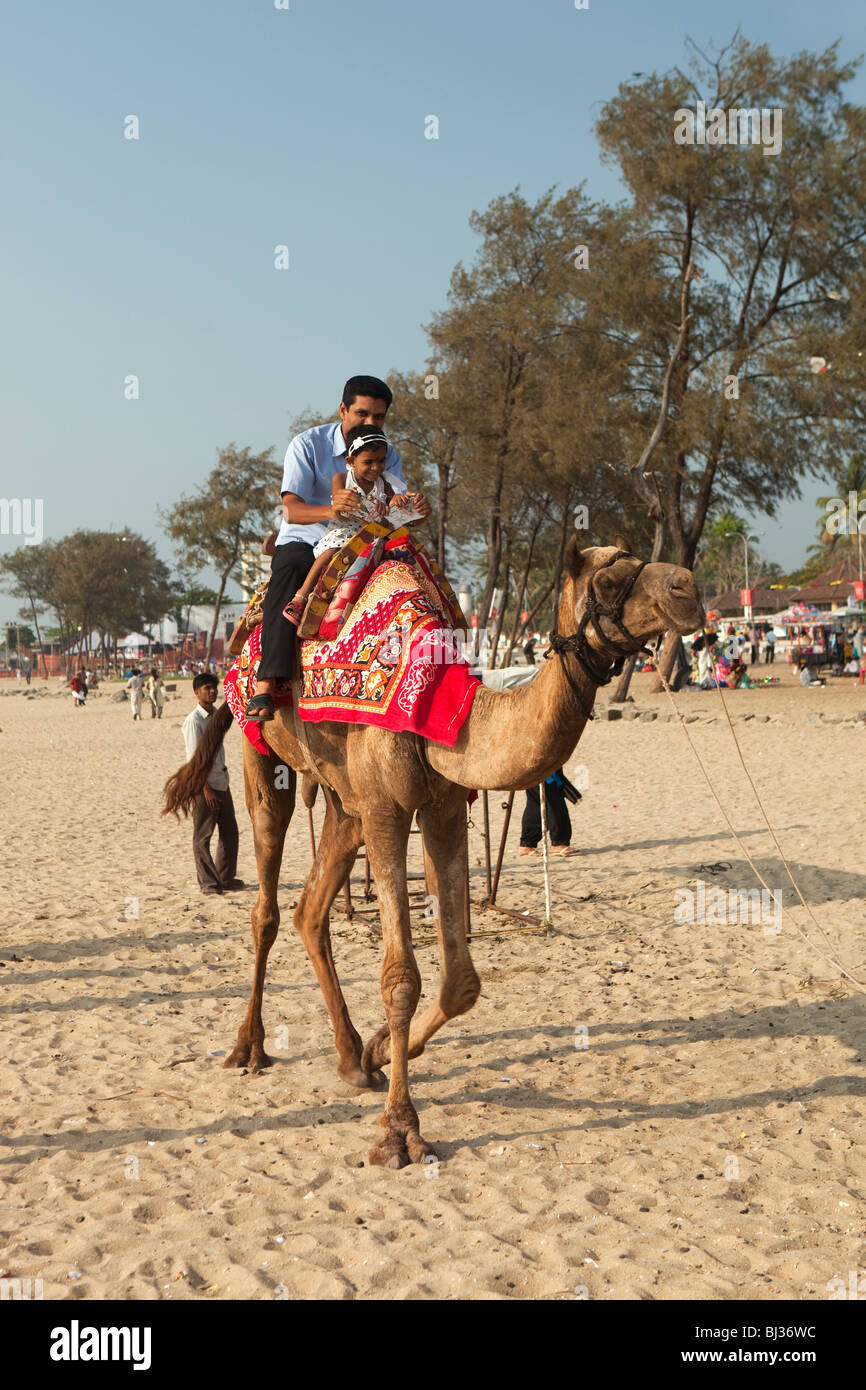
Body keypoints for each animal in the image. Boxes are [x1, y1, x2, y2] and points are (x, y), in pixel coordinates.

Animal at [164, 536, 706, 1167]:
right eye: (609, 579)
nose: (688, 588)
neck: (442, 704)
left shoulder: (443, 807)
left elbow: (461, 981)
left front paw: (379, 1050)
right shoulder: (387, 811)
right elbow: (401, 978)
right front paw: (398, 1131)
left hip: (346, 801)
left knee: (311, 909)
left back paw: (351, 1056)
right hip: (266, 755)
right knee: (267, 904)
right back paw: (249, 1047)